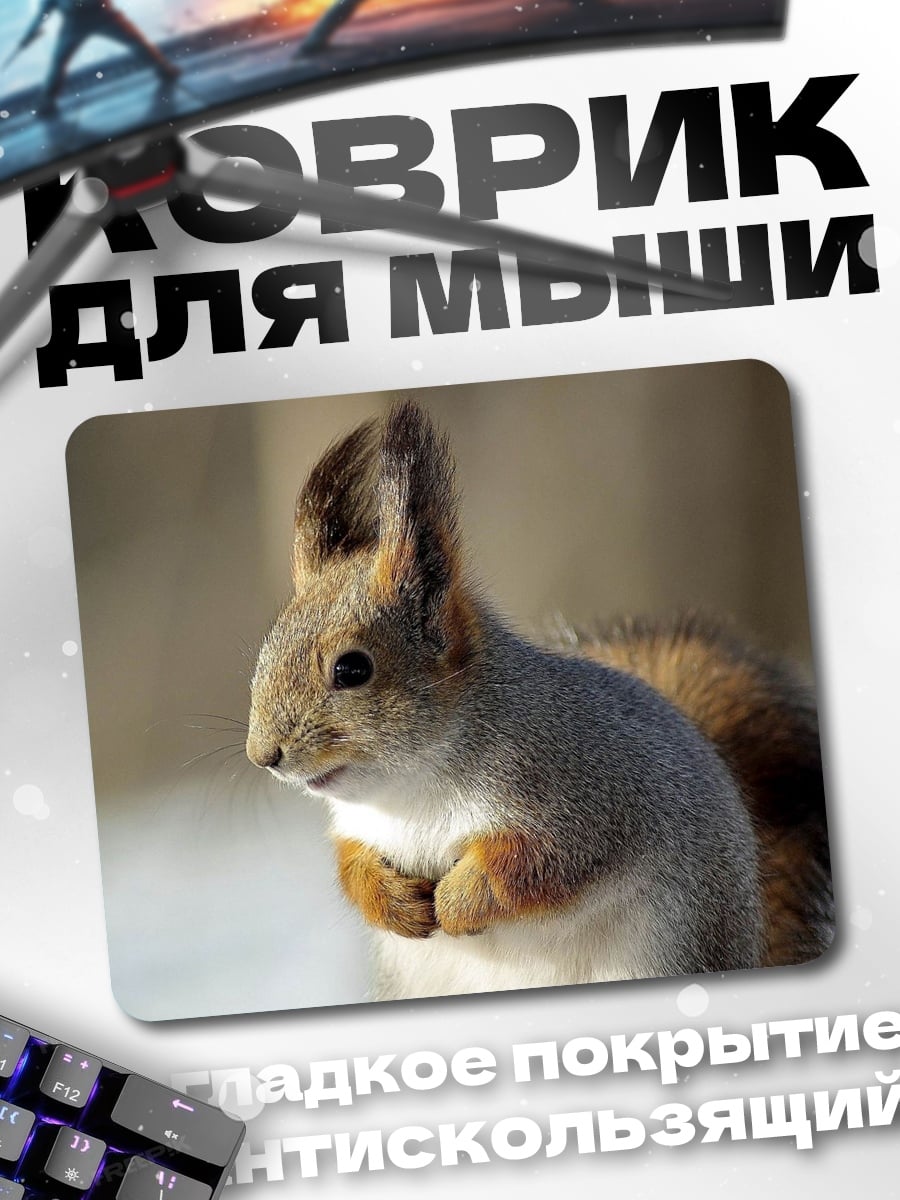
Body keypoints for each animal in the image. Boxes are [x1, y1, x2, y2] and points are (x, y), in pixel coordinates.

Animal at [246, 400, 833, 1000]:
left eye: (352, 669)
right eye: (265, 651)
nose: (263, 755)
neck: (413, 788)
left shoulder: (588, 803)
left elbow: (536, 867)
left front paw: (458, 902)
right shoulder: (357, 829)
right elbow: (352, 867)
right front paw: (394, 904)